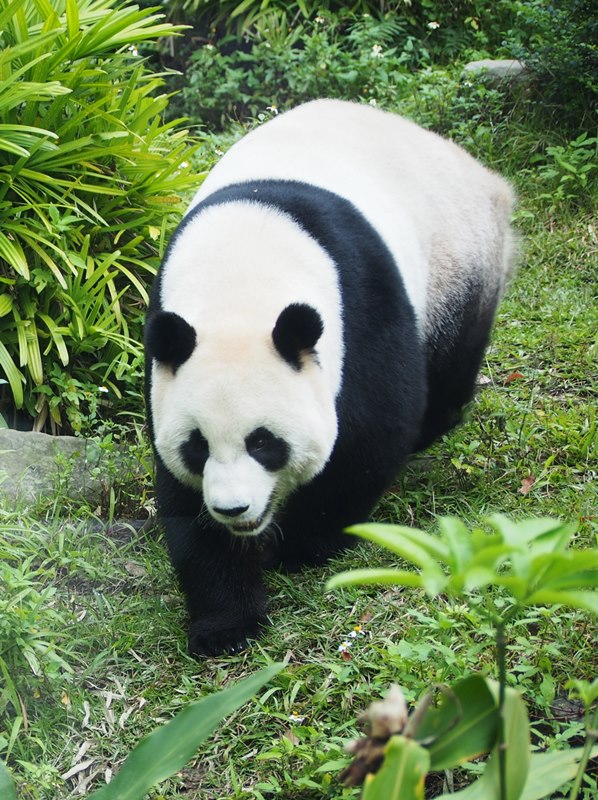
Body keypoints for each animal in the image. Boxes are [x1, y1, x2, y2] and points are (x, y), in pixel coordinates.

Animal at [144, 99, 516, 657]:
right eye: (198, 445)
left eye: (263, 442)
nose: (235, 508)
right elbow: (185, 502)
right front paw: (226, 624)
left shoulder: (361, 309)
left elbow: (369, 436)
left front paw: (301, 547)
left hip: (460, 258)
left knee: (452, 356)